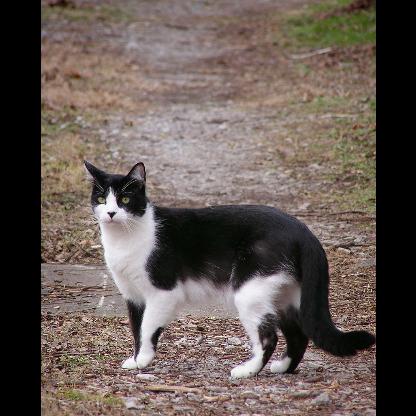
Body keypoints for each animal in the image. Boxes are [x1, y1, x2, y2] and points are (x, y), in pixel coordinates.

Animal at [84, 160, 375, 379]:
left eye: (124, 198)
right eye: (101, 198)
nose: (111, 213)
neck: (125, 238)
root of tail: (304, 231)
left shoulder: (163, 292)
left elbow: (147, 328)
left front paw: (144, 360)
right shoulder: (132, 295)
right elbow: (136, 328)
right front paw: (135, 360)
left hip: (251, 289)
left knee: (268, 337)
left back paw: (247, 371)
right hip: (283, 292)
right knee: (297, 333)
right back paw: (283, 368)